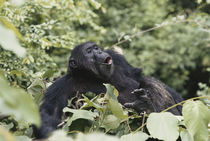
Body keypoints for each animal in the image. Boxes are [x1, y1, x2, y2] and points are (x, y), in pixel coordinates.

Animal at [34, 41, 182, 139]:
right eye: (89, 51)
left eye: (96, 48)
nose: (99, 52)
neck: (92, 76)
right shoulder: (61, 86)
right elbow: (49, 113)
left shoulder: (117, 57)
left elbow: (138, 77)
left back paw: (146, 104)